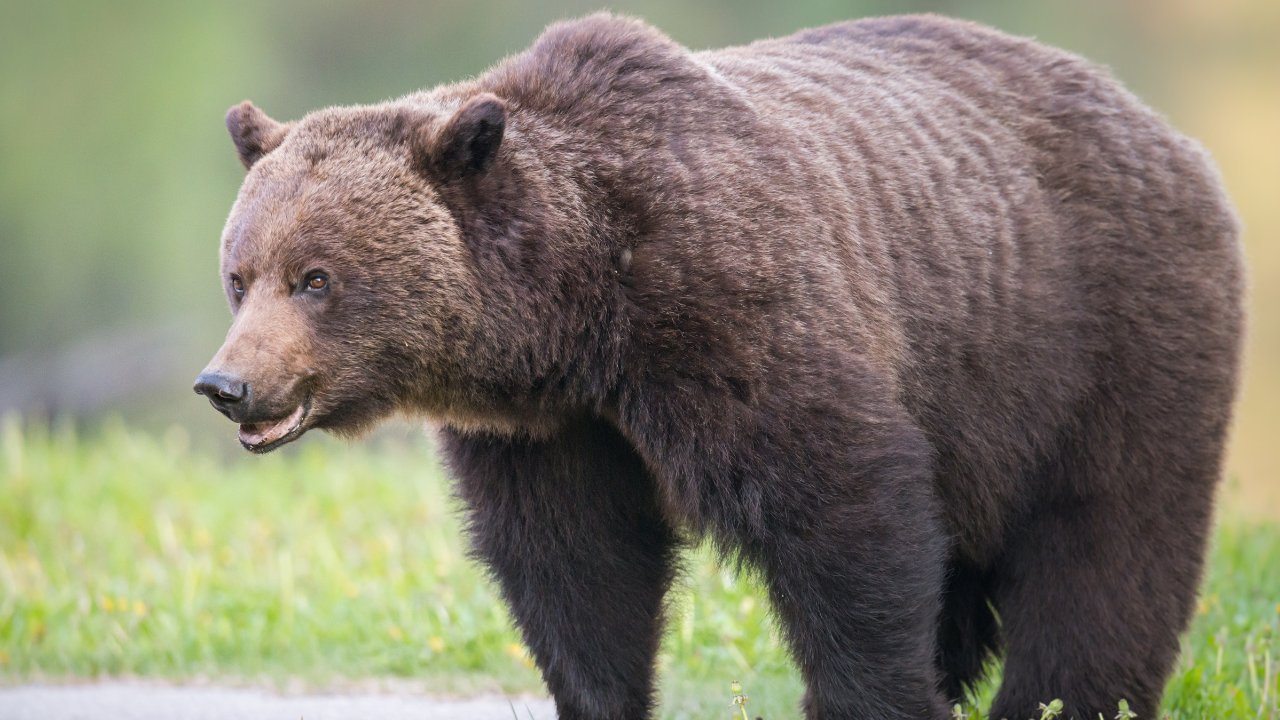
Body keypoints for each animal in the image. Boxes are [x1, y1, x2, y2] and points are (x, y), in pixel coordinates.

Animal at [194, 12, 1244, 717]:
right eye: (240, 276)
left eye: (317, 277)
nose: (226, 385)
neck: (580, 317)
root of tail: (1160, 125)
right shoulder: (552, 432)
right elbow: (576, 567)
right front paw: (601, 691)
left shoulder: (735, 311)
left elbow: (844, 511)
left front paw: (876, 695)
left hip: (1099, 333)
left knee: (1106, 542)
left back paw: (1066, 697)